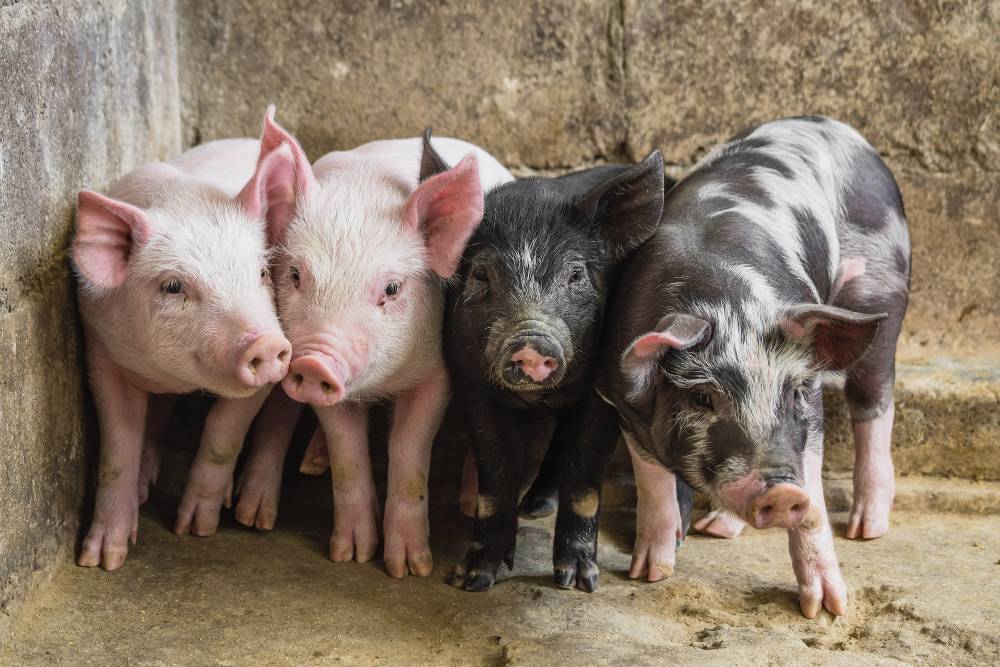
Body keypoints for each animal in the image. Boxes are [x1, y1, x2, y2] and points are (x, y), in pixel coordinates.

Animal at [73, 133, 296, 572]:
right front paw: (102, 560)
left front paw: (196, 529)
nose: (266, 343)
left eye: (262, 272)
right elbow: (117, 449)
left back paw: (253, 515)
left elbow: (224, 432)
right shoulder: (100, 346)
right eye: (174, 286)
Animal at [256, 111, 516, 580]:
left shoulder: (437, 370)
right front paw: (351, 555)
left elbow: (409, 449)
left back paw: (470, 504)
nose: (315, 363)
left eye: (392, 289)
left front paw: (410, 568)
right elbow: (347, 453)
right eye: (297, 275)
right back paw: (312, 464)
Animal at [444, 154, 672, 592]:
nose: (532, 344)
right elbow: (495, 475)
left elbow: (585, 478)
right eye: (481, 274)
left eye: (576, 275)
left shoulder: (605, 393)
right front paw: (471, 580)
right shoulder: (471, 384)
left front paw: (579, 582)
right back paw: (534, 507)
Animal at [596, 116, 912, 620]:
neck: (725, 298)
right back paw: (716, 528)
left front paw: (827, 610)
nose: (781, 492)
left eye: (793, 392)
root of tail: (841, 128)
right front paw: (648, 574)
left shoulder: (811, 411)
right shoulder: (623, 402)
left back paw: (867, 529)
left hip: (881, 287)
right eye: (702, 398)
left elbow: (815, 504)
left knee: (874, 400)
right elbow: (653, 483)